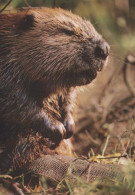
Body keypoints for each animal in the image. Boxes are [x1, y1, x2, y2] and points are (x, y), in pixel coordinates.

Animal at [0, 7, 109, 172]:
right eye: (68, 31)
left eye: (91, 27)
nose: (104, 49)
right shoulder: (7, 71)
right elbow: (16, 102)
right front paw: (58, 129)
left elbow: (68, 97)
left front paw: (69, 127)